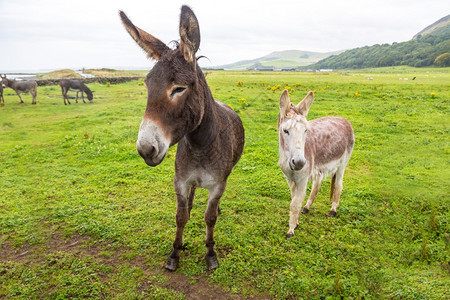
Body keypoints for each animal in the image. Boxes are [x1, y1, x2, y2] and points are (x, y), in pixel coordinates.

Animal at [119, 5, 244, 272]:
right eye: (147, 85)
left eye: (179, 89)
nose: (145, 149)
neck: (200, 145)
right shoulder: (181, 181)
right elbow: (181, 216)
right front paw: (175, 253)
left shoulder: (218, 184)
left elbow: (210, 218)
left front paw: (210, 253)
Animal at [278, 89, 356, 237]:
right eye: (285, 131)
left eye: (305, 130)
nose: (299, 163)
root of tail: (343, 119)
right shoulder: (290, 179)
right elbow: (294, 199)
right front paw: (296, 222)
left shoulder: (302, 179)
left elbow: (295, 204)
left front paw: (291, 230)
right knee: (317, 184)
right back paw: (307, 207)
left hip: (343, 163)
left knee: (338, 185)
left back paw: (333, 210)